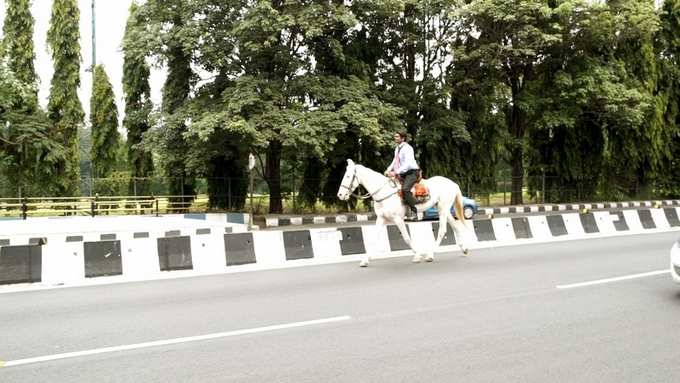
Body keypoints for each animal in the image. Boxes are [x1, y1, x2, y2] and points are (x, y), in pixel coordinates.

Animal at [338, 159, 470, 268]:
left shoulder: (398, 219)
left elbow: (406, 237)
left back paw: (430, 255)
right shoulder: (381, 219)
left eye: (348, 176)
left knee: (442, 230)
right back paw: (464, 249)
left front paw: (417, 255)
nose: (340, 195)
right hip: (444, 209)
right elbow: (374, 239)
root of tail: (452, 183)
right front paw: (365, 260)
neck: (384, 192)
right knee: (456, 227)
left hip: (443, 209)